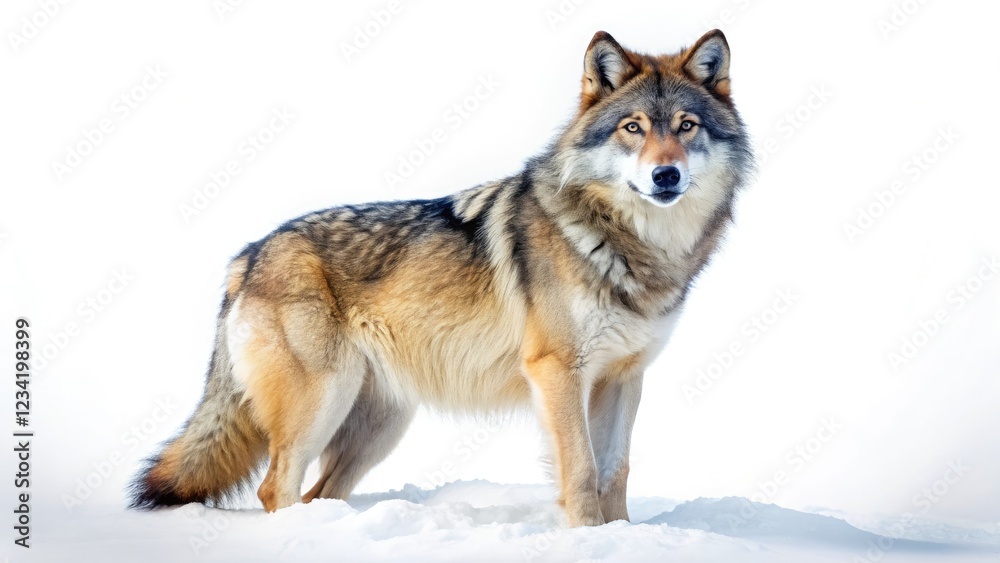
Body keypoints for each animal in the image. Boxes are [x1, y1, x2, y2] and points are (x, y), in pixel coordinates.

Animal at [130, 29, 752, 527]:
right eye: (633, 128)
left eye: (686, 127)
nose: (666, 175)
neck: (629, 246)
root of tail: (249, 255)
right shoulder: (557, 372)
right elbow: (579, 472)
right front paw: (586, 539)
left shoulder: (624, 378)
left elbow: (615, 473)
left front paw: (620, 537)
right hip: (322, 403)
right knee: (274, 487)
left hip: (378, 427)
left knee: (314, 492)